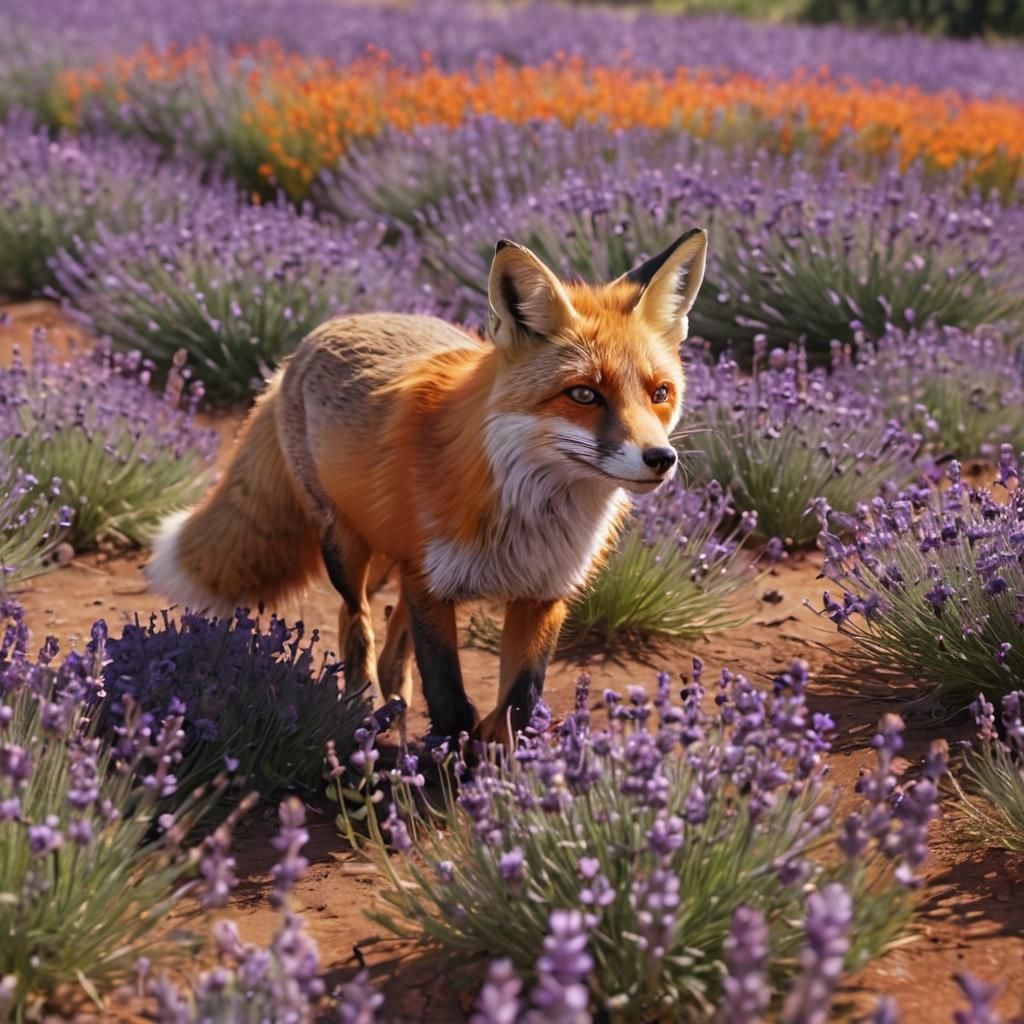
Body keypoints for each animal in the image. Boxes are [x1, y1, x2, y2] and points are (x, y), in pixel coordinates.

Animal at [145, 228, 708, 742]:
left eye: (660, 393)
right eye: (585, 394)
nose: (661, 459)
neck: (528, 518)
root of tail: (307, 343)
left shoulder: (542, 596)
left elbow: (517, 707)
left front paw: (497, 768)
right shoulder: (433, 585)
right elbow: (451, 700)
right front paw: (449, 764)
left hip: (398, 562)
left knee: (388, 630)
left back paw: (392, 696)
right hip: (347, 548)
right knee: (357, 621)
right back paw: (360, 705)